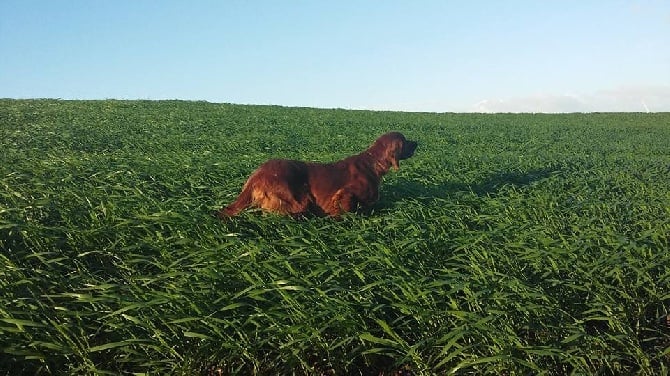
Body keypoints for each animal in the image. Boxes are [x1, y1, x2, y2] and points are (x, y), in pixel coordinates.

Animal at [218, 132, 418, 217]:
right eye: (405, 140)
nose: (417, 142)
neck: (372, 164)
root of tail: (256, 176)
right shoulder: (343, 194)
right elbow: (346, 208)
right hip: (300, 199)